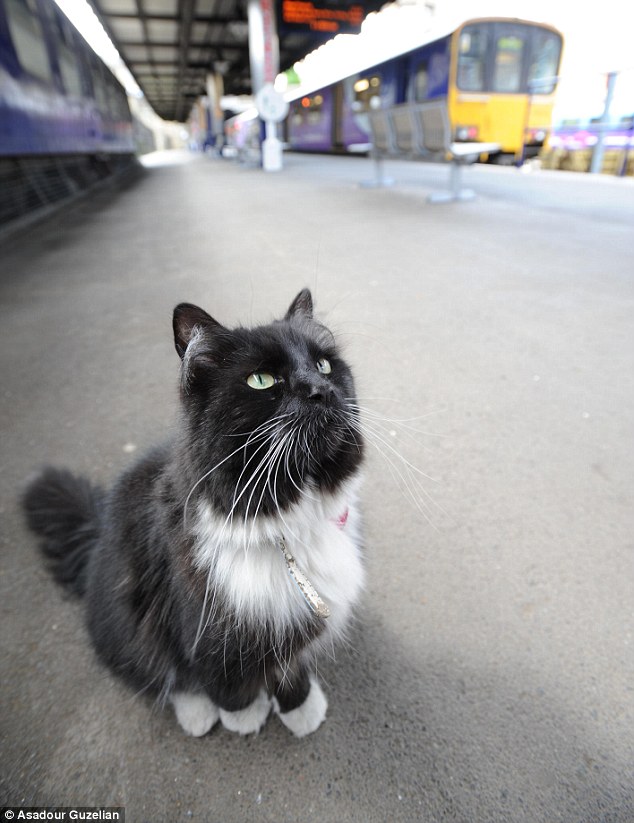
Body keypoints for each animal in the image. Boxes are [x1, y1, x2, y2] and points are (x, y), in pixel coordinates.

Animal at [22, 292, 366, 740]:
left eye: (325, 365)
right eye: (261, 380)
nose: (322, 390)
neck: (288, 522)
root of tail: (96, 532)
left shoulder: (291, 620)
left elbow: (290, 672)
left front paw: (301, 710)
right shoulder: (207, 626)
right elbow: (223, 681)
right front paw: (244, 718)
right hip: (127, 620)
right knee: (159, 673)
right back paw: (198, 715)